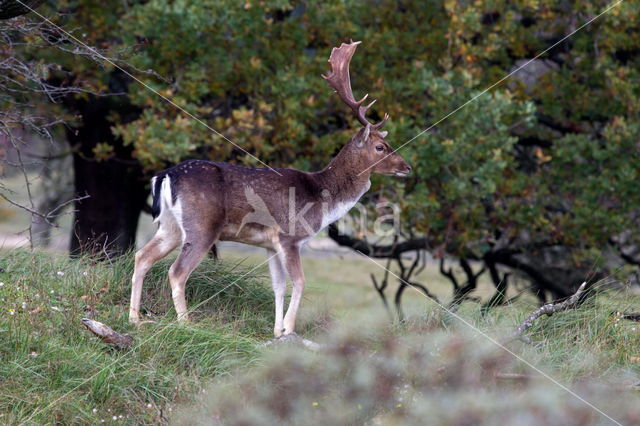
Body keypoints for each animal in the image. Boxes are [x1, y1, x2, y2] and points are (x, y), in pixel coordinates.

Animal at [130, 42, 412, 336]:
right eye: (380, 147)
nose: (407, 167)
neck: (322, 197)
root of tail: (165, 175)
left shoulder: (269, 243)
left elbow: (278, 286)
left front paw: (277, 331)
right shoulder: (290, 236)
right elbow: (299, 282)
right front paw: (288, 328)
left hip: (170, 225)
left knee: (142, 256)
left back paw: (135, 319)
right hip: (202, 225)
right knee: (176, 271)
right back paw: (186, 324)